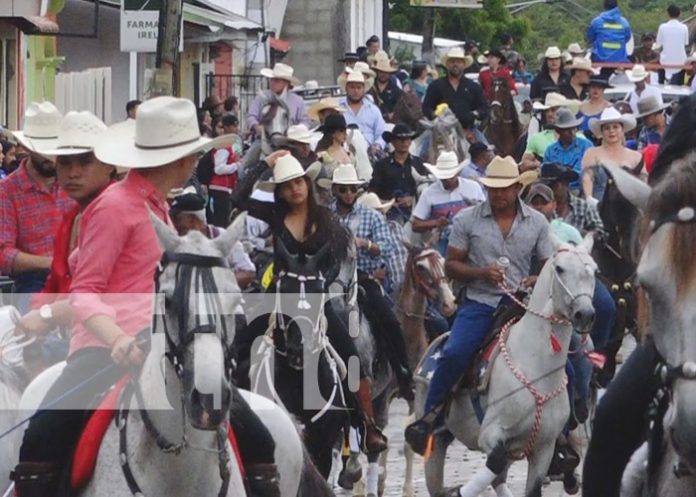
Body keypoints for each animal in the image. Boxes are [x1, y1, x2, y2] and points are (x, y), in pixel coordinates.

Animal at [410, 236, 596, 496]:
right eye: (560, 268)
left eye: (594, 270)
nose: (585, 314)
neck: (533, 365)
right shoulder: (491, 434)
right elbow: (494, 460)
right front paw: (459, 491)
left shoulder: (544, 449)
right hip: (434, 441)